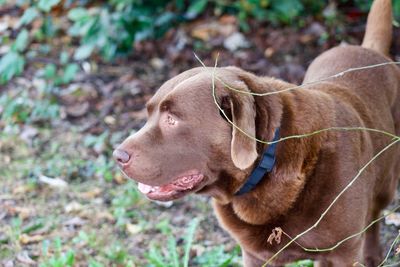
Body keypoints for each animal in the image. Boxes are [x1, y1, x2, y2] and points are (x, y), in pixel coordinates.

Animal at [112, 0, 400, 266]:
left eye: (172, 119)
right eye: (149, 113)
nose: (117, 155)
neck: (269, 164)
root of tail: (369, 48)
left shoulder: (343, 251)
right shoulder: (254, 254)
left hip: (385, 182)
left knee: (375, 216)